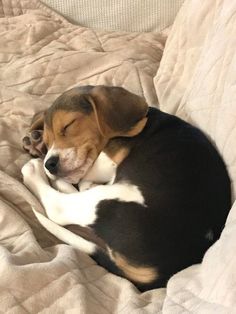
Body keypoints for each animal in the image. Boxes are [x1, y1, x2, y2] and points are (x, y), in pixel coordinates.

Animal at [21, 85, 230, 292]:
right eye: (48, 140)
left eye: (68, 125)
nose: (50, 163)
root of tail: (161, 273)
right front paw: (38, 143)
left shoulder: (107, 163)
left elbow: (86, 173)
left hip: (115, 197)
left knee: (58, 207)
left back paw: (35, 171)